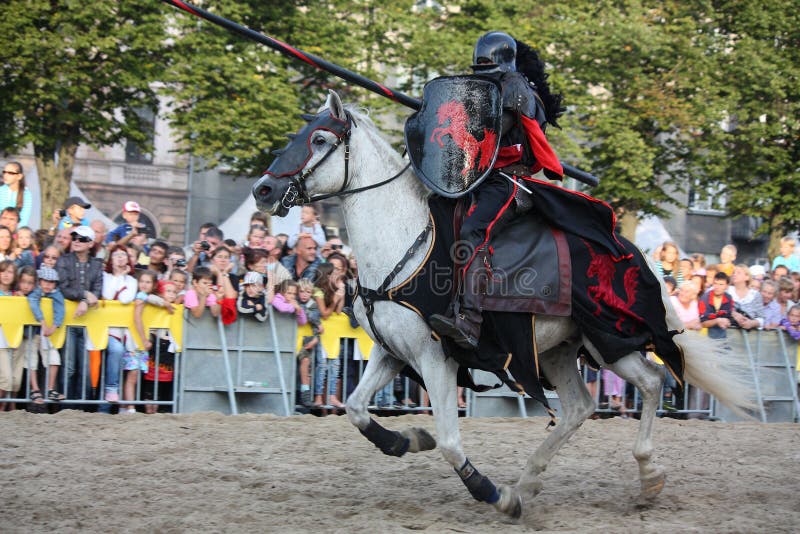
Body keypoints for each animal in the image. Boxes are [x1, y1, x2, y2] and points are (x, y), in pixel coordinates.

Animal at [255, 91, 756, 520]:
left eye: (320, 140)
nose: (262, 190)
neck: (405, 239)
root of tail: (637, 253)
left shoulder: (435, 358)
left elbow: (450, 442)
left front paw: (493, 495)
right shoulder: (392, 354)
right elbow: (357, 410)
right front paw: (406, 440)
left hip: (610, 338)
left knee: (652, 382)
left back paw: (645, 475)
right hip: (557, 350)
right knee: (579, 407)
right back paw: (531, 479)